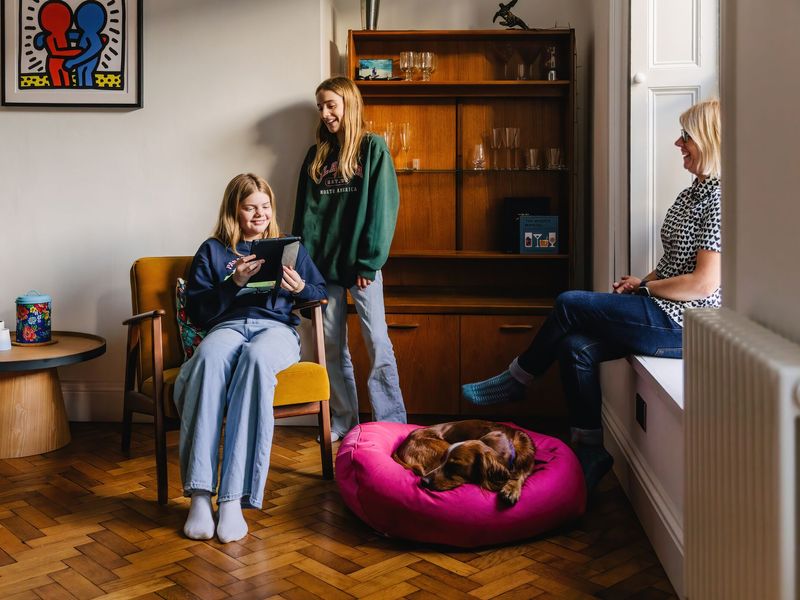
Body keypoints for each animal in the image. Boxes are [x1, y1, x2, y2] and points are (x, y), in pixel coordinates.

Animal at [390, 422, 536, 506]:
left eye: (454, 466)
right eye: (443, 461)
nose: (423, 481)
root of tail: (401, 445)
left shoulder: (528, 462)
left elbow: (520, 473)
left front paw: (511, 488)